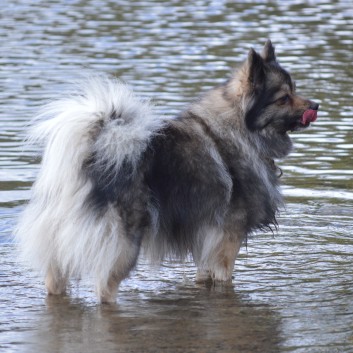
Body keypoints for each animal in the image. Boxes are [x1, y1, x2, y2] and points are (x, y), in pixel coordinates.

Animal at [15, 40, 320, 302]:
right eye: (284, 98)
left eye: (295, 89)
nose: (316, 105)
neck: (241, 129)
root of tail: (87, 159)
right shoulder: (227, 241)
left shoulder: (206, 244)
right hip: (123, 246)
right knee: (104, 289)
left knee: (55, 282)